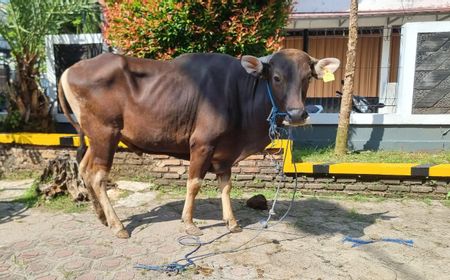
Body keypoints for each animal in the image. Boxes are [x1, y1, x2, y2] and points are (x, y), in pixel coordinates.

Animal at [59, 49, 338, 238]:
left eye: (308, 77)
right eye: (277, 77)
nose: (297, 114)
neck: (239, 92)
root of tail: (69, 70)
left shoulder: (225, 153)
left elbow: (226, 186)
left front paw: (232, 222)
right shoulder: (202, 144)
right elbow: (194, 184)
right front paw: (190, 224)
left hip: (95, 139)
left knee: (84, 169)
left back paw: (102, 217)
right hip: (105, 134)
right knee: (97, 176)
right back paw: (117, 225)